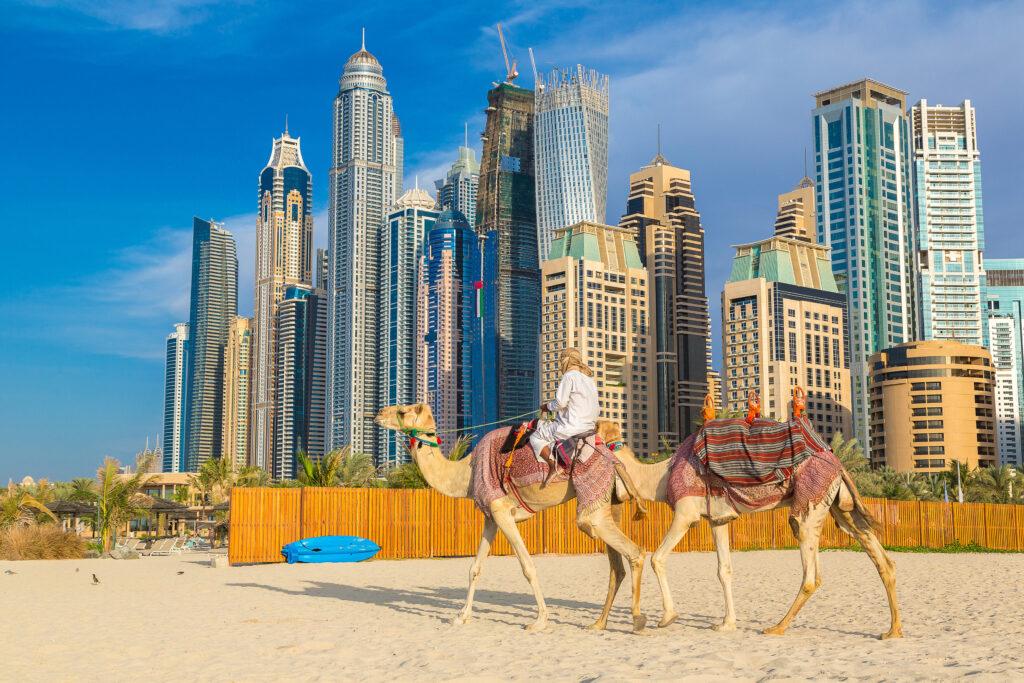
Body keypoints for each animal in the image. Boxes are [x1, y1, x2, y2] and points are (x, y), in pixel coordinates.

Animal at [375, 403, 648, 633]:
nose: (378, 413)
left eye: (402, 411)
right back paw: (600, 623)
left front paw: (540, 620)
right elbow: (475, 568)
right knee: (617, 565)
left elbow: (528, 566)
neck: (466, 473)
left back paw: (638, 620)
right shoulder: (490, 517)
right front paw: (461, 616)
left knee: (633, 551)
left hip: (593, 503)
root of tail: (614, 457)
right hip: (610, 503)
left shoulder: (502, 511)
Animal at [593, 394, 903, 640]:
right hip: (840, 505)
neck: (661, 475)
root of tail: (837, 463)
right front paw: (726, 624)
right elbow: (724, 570)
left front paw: (667, 617)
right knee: (880, 558)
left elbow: (658, 558)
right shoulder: (717, 518)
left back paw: (777, 627)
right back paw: (892, 631)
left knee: (811, 573)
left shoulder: (686, 512)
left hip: (808, 503)